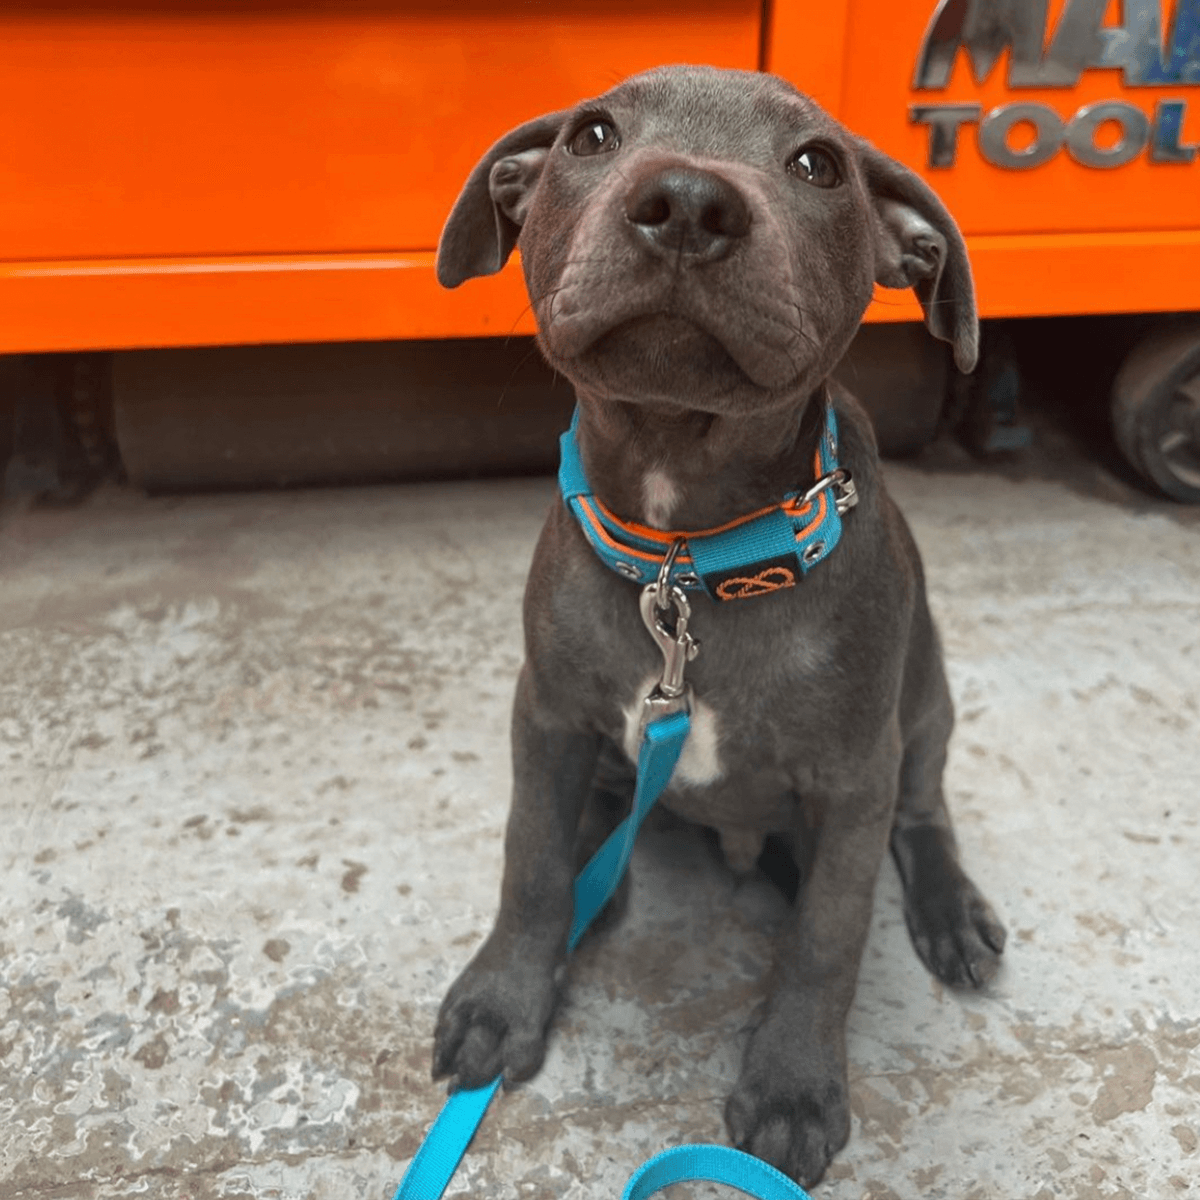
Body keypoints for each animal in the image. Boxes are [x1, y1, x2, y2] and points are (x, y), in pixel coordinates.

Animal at [429, 68, 1003, 1190]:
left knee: (922, 815)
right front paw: (505, 998)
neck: (689, 551)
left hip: (927, 709)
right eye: (591, 137)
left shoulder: (853, 778)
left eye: (819, 165)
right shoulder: (547, 717)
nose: (689, 203)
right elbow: (529, 859)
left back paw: (949, 909)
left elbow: (826, 938)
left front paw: (792, 1089)